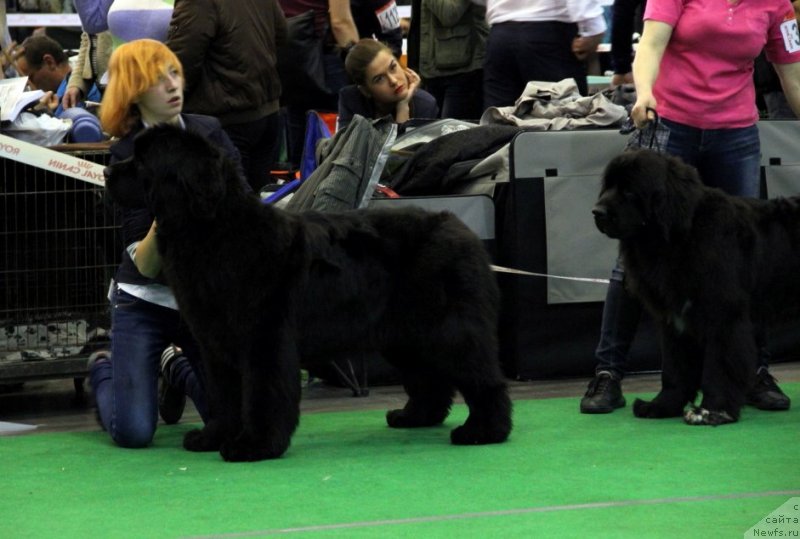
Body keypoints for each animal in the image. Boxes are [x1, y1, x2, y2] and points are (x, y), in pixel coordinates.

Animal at [104, 125, 512, 460]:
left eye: (142, 161)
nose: (107, 171)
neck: (215, 230)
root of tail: (464, 231)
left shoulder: (264, 338)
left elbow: (262, 393)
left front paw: (255, 446)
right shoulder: (215, 344)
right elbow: (223, 396)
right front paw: (212, 438)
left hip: (449, 329)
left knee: (482, 378)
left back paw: (483, 431)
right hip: (405, 335)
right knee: (431, 380)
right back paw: (414, 417)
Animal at [592, 149, 800, 426]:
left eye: (628, 191)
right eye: (608, 186)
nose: (597, 211)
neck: (679, 235)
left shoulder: (723, 315)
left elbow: (719, 365)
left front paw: (712, 411)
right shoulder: (674, 318)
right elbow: (675, 367)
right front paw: (661, 405)